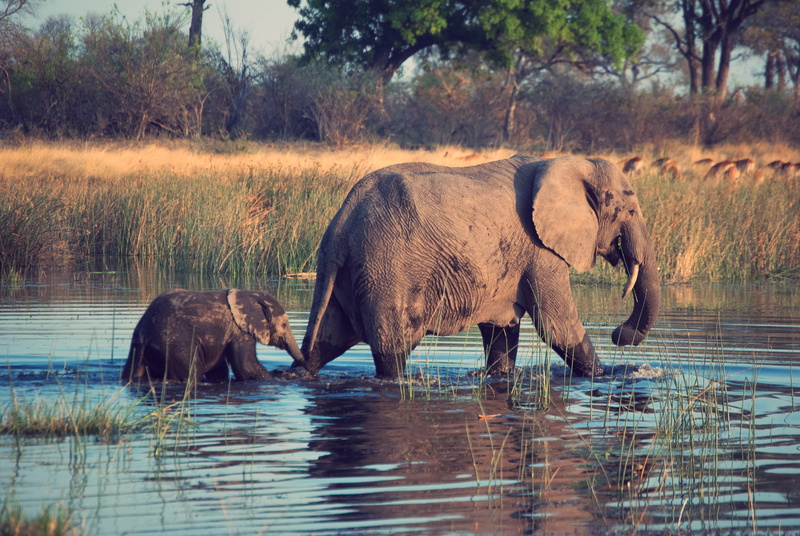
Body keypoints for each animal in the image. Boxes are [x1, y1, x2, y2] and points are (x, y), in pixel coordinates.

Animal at [121, 289, 305, 383]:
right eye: (284, 325)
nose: (301, 366)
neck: (249, 294)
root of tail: (144, 333)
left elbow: (219, 371)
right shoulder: (239, 331)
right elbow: (246, 368)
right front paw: (280, 376)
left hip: (137, 348)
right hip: (172, 344)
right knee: (192, 373)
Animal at [299, 155, 660, 378]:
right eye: (629, 211)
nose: (618, 334)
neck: (569, 162)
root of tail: (340, 224)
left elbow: (502, 330)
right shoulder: (540, 250)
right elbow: (557, 326)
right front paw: (604, 377)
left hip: (349, 273)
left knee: (322, 344)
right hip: (385, 269)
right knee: (392, 352)